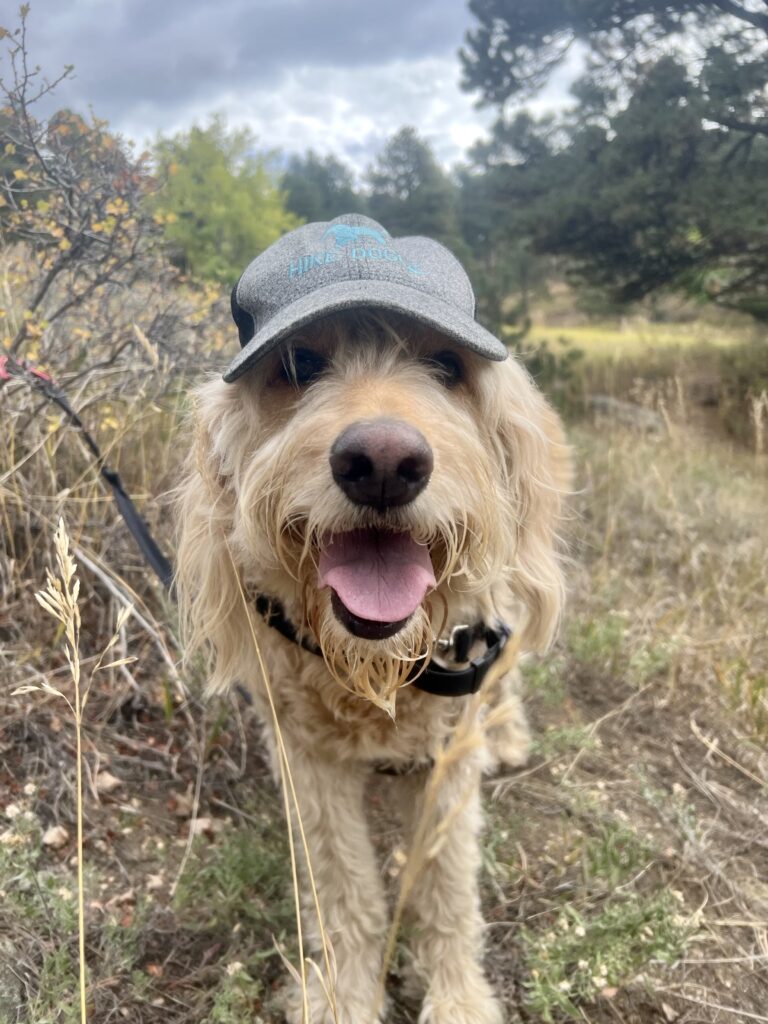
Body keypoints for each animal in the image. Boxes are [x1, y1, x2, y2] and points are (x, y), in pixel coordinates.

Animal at [176, 211, 573, 1019]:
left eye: (448, 366)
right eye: (298, 364)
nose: (383, 462)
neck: (378, 670)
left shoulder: (449, 755)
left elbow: (445, 885)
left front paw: (457, 997)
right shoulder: (308, 761)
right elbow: (343, 889)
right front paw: (346, 993)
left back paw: (508, 733)